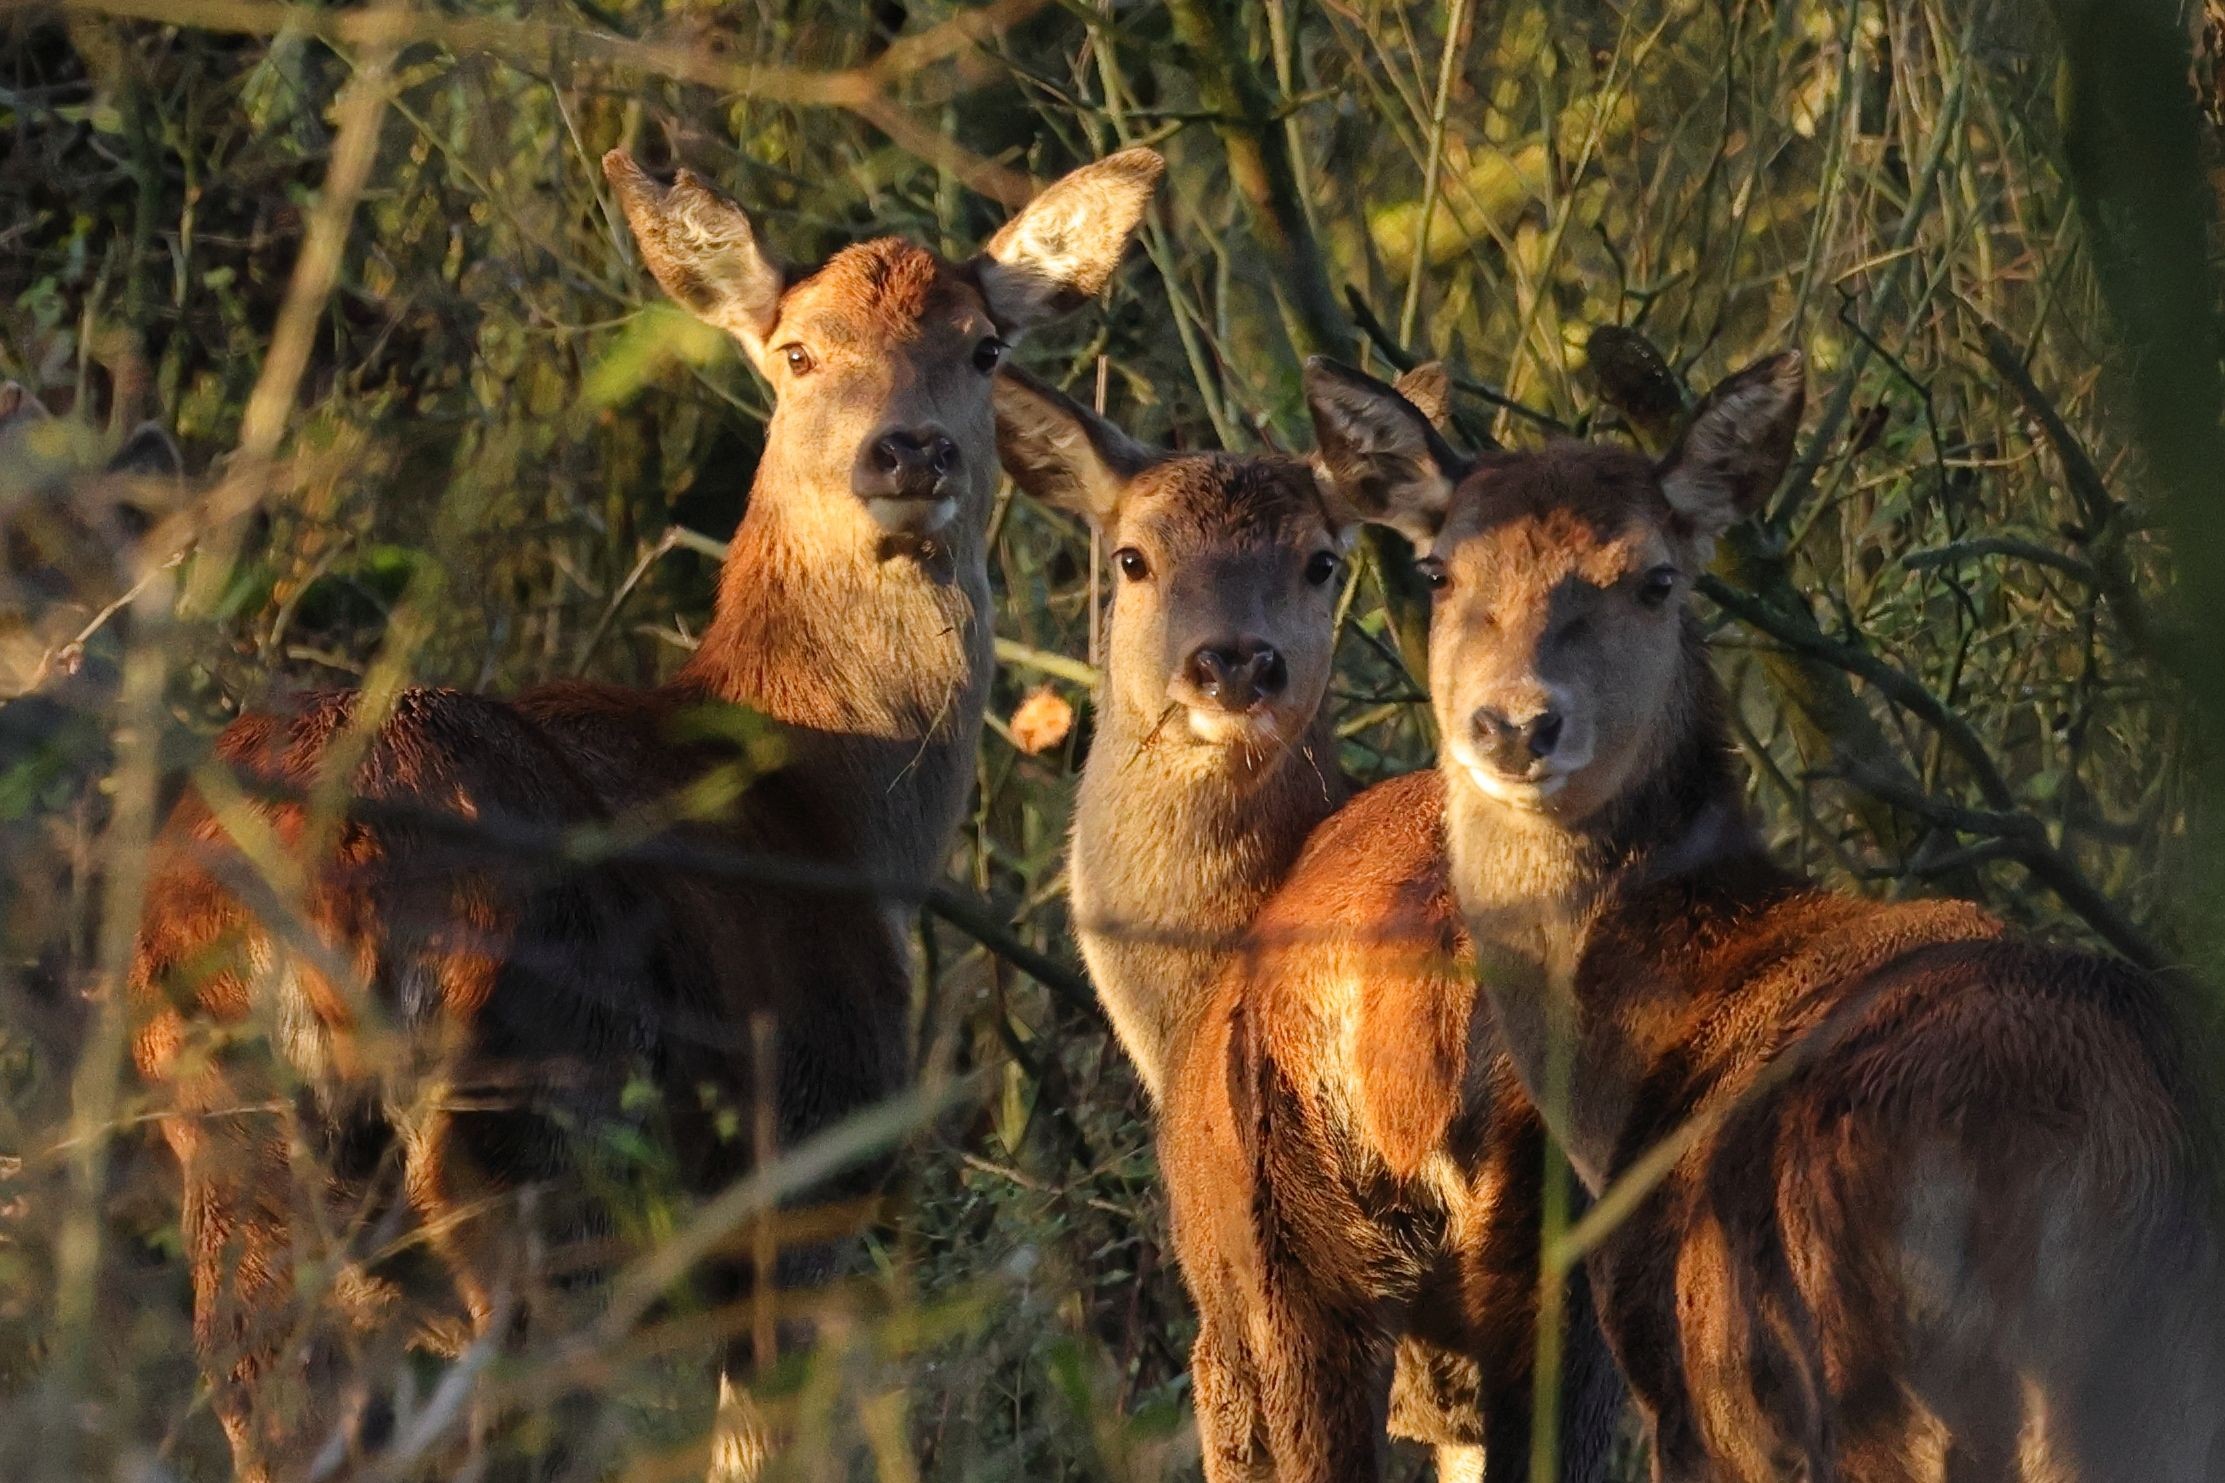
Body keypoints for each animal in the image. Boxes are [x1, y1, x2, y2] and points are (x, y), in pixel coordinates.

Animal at [124, 142, 1165, 1483]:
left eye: (982, 345)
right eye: (797, 350)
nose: (908, 453)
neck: (825, 804)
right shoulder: (804, 1170)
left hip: (233, 1153)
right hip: (539, 1134)